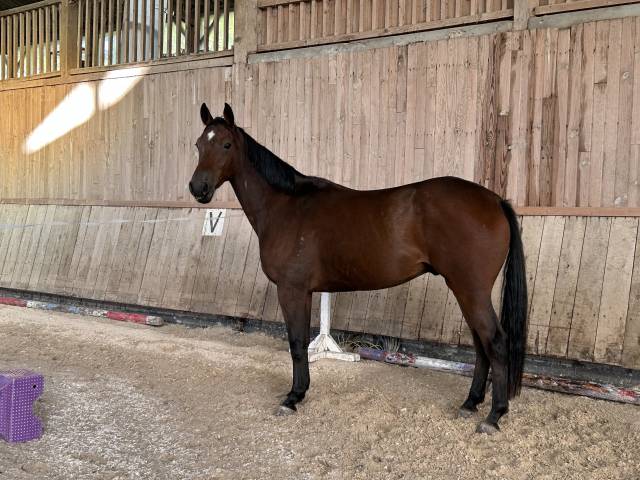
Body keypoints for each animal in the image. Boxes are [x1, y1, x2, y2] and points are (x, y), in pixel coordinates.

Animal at [189, 103, 527, 434]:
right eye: (198, 145)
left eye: (226, 144)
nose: (197, 188)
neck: (286, 206)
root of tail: (495, 200)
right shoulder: (304, 291)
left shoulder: (292, 290)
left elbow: (297, 343)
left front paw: (293, 397)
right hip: (465, 290)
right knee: (481, 343)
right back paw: (470, 403)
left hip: (470, 290)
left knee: (495, 342)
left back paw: (494, 416)